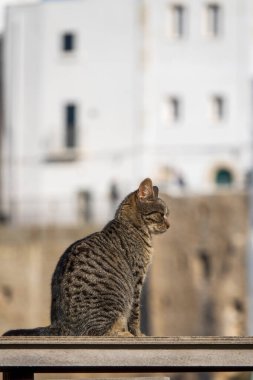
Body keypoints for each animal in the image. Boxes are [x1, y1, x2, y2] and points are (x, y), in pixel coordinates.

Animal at [2, 178, 169, 336]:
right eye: (161, 215)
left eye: (168, 214)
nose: (169, 225)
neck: (133, 226)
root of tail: (59, 326)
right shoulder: (137, 278)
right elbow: (135, 314)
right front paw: (137, 334)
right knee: (98, 331)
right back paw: (123, 334)